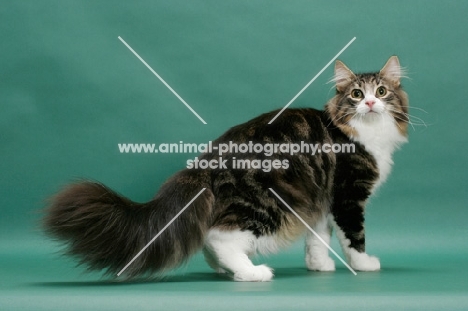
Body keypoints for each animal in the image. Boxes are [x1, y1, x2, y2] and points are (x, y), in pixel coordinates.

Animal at [44, 56, 410, 282]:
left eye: (381, 91)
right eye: (356, 94)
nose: (370, 103)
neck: (368, 134)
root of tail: (205, 162)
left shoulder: (320, 201)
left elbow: (318, 239)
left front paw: (319, 267)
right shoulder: (348, 197)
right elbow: (354, 237)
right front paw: (364, 264)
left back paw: (225, 269)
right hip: (269, 205)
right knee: (219, 237)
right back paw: (251, 272)